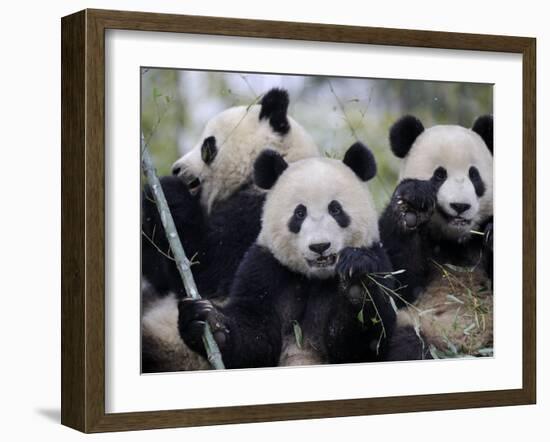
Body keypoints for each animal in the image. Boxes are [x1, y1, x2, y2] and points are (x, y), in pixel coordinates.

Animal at [141, 88, 324, 372]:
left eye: (208, 145)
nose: (176, 169)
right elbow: (161, 274)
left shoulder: (264, 215)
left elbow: (207, 270)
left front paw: (167, 190)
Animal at [179, 143, 398, 368]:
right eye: (299, 213)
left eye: (336, 209)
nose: (320, 246)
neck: (315, 278)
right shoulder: (264, 268)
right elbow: (254, 336)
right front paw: (209, 322)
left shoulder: (379, 258)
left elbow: (361, 345)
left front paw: (357, 283)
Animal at [384, 114, 496, 360]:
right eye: (439, 175)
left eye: (474, 175)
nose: (460, 206)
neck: (453, 241)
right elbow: (398, 284)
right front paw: (412, 207)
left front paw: (492, 234)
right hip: (418, 327)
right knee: (403, 343)